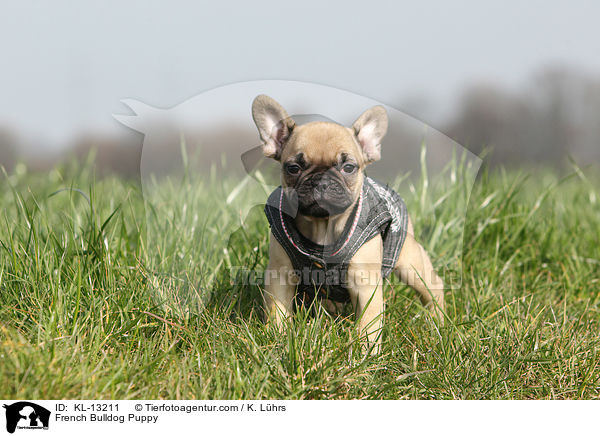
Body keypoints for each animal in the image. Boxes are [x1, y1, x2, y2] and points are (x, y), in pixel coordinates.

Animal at [251, 94, 442, 350]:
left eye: (348, 167)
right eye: (293, 168)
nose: (321, 181)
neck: (323, 227)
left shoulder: (366, 283)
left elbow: (369, 321)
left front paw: (366, 352)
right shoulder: (280, 275)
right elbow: (277, 311)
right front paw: (277, 338)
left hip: (409, 262)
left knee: (433, 286)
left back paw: (438, 322)